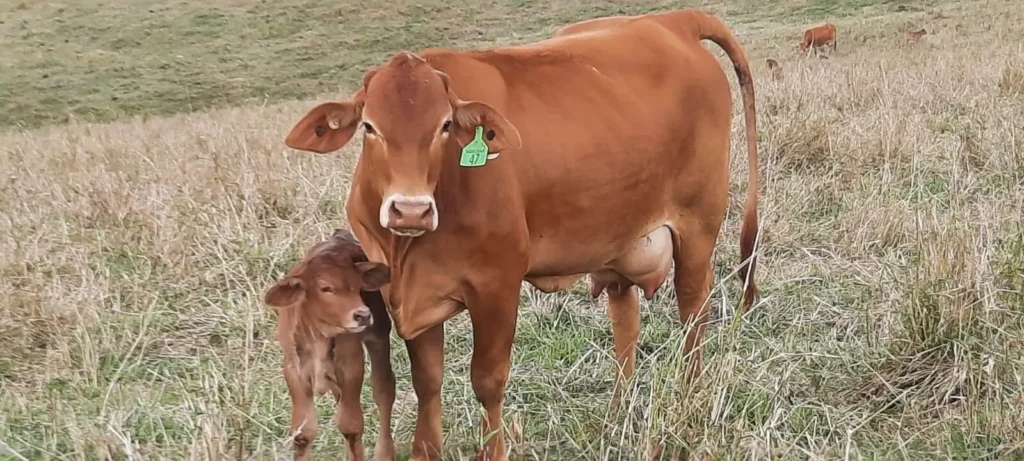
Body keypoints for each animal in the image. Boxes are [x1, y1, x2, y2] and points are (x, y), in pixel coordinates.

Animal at [264, 229, 396, 461]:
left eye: (357, 286)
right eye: (326, 288)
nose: (362, 315)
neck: (319, 334)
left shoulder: (351, 365)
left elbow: (350, 425)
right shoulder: (292, 368)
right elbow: (303, 432)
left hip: (379, 332)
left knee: (383, 387)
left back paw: (385, 453)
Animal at [283, 8, 760, 461]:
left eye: (443, 126)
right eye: (369, 127)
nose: (411, 209)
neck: (408, 250)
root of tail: (671, 21)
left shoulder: (496, 286)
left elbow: (487, 380)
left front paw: (492, 450)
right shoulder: (407, 296)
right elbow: (427, 382)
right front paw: (426, 450)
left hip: (697, 226)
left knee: (693, 312)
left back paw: (690, 401)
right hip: (619, 240)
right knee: (625, 318)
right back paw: (618, 413)